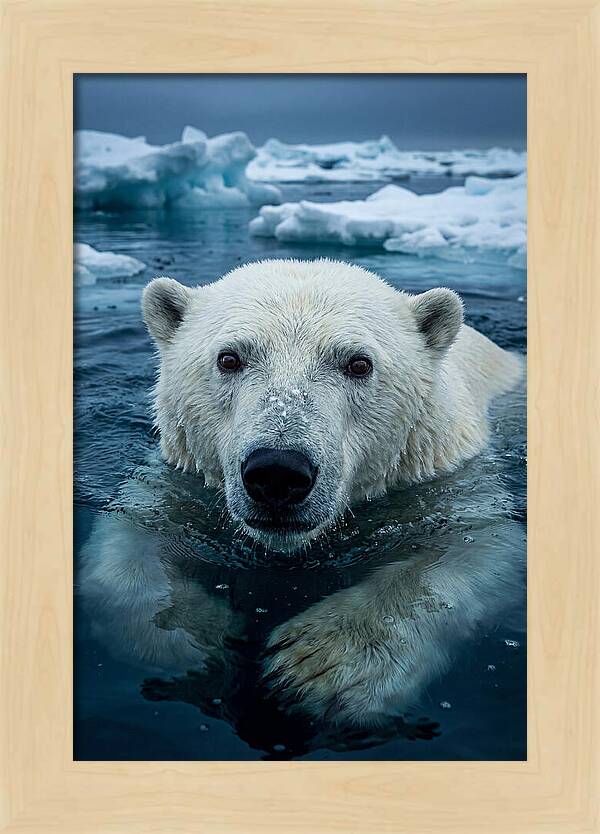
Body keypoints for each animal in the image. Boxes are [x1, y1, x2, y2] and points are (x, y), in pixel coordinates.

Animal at [77, 258, 525, 748]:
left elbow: (476, 548)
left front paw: (320, 665)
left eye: (358, 363)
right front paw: (195, 641)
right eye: (229, 358)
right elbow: (128, 544)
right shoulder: (179, 481)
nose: (278, 472)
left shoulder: (447, 481)